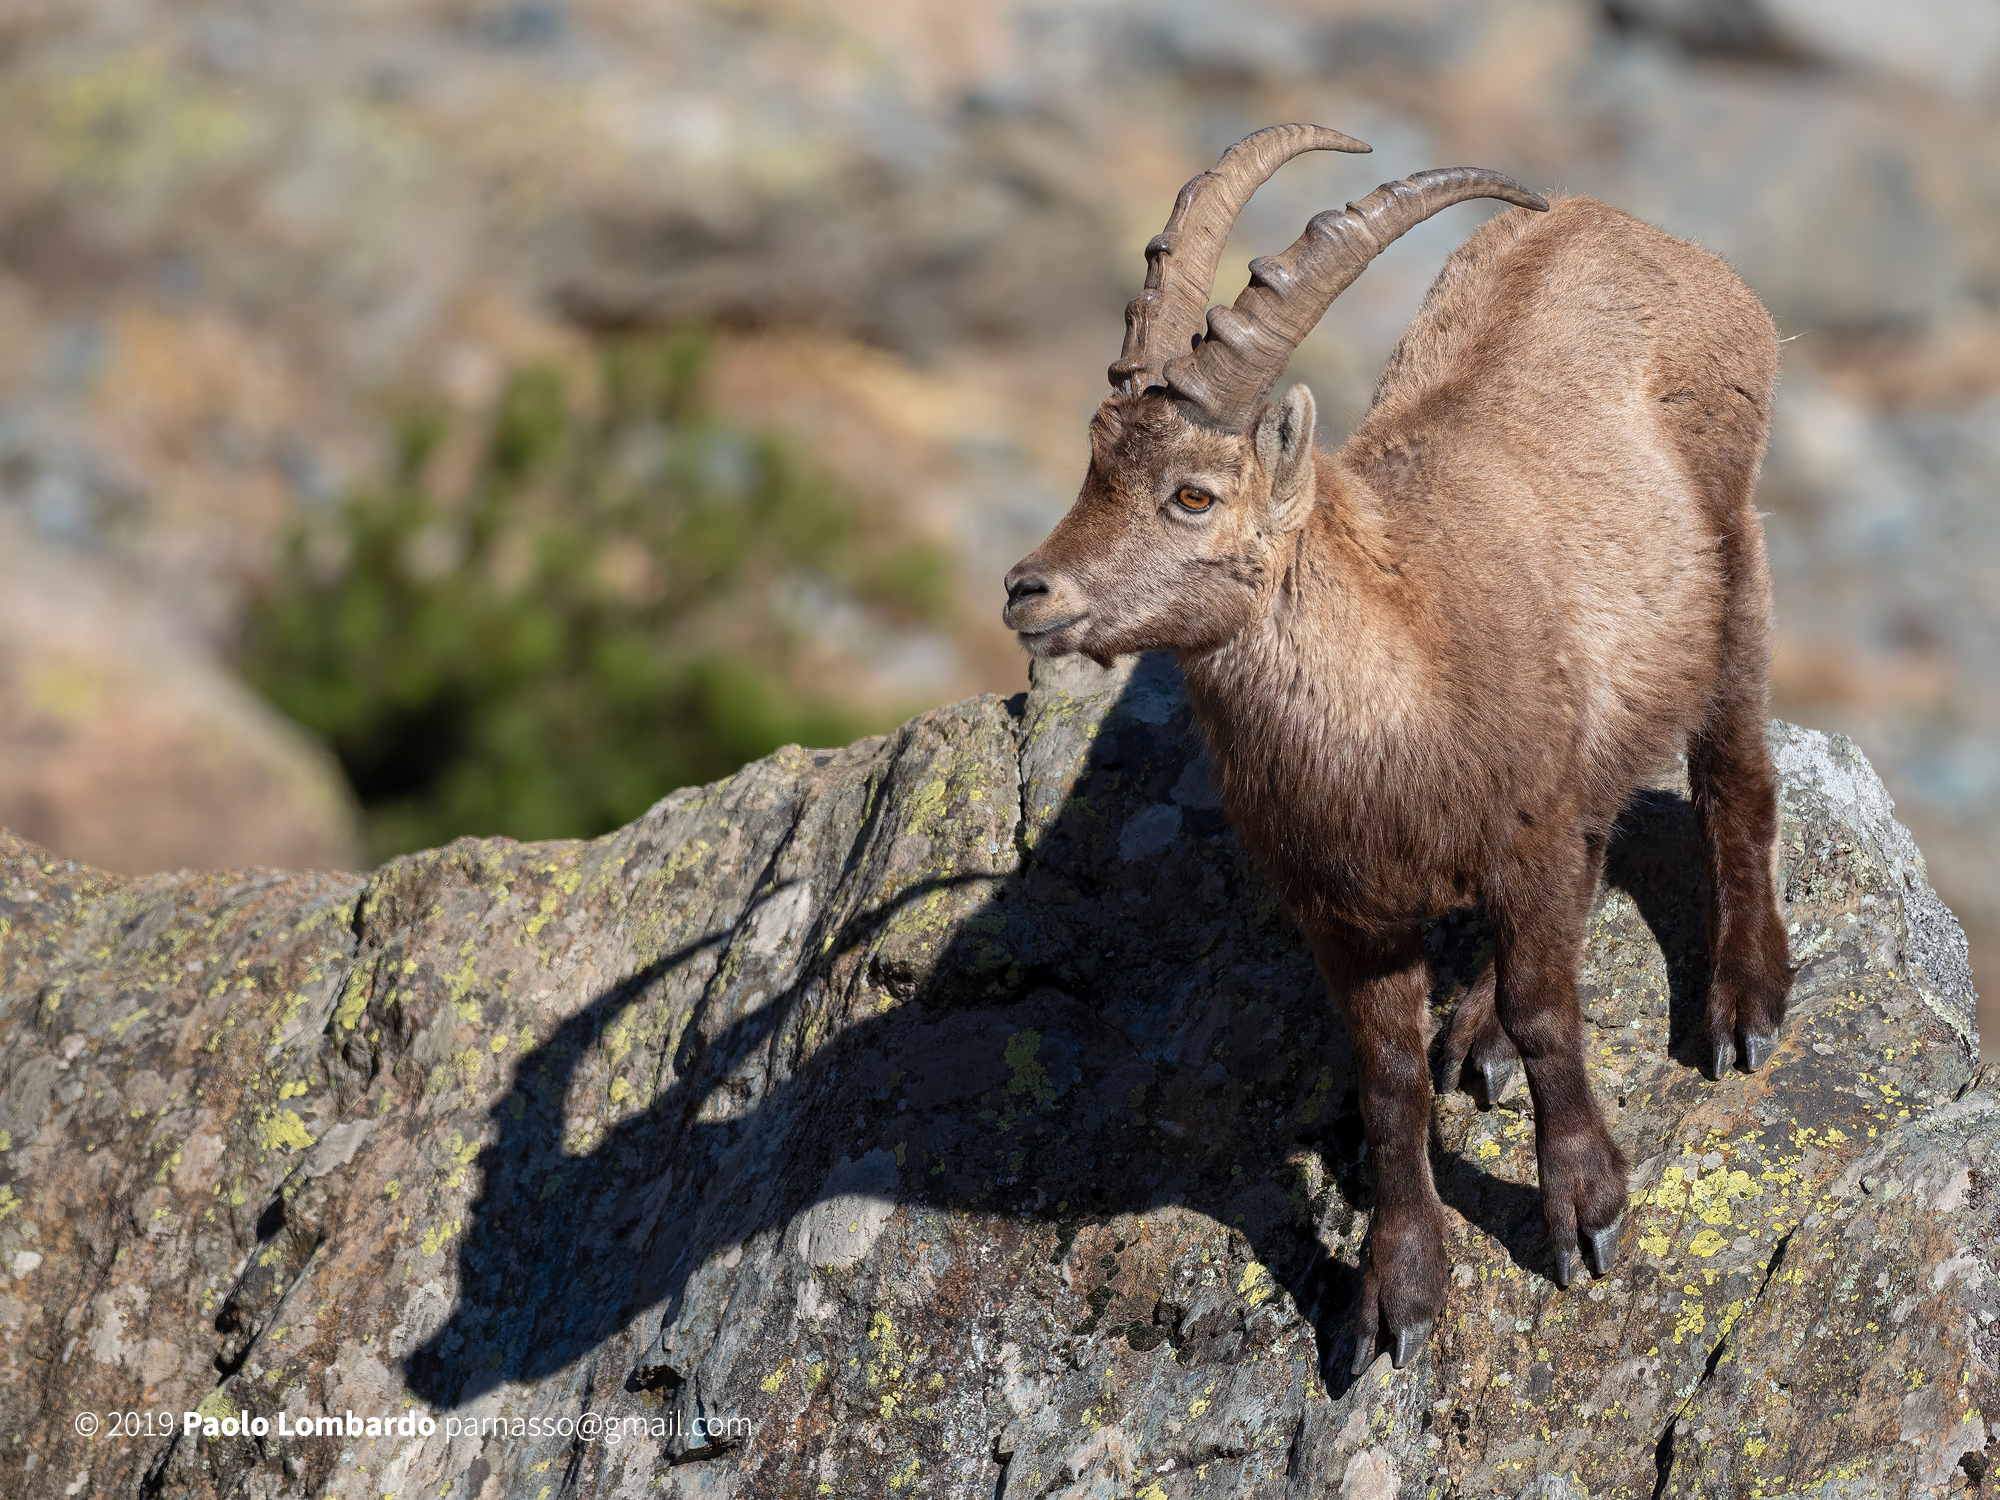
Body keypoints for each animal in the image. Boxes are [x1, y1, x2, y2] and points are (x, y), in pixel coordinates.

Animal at [1003, 124, 1794, 1373]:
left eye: (1192, 494)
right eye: (1092, 460)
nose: (1027, 592)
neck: (1394, 680)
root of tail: (1634, 231)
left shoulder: (1519, 837)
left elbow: (1550, 1012)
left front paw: (1584, 1212)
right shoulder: (1343, 909)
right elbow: (1384, 1083)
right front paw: (1395, 1294)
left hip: (1731, 561)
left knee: (1732, 775)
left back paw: (1740, 1005)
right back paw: (1474, 1037)